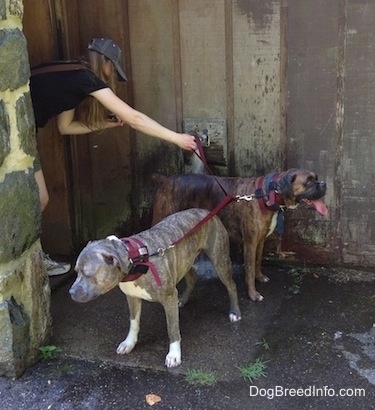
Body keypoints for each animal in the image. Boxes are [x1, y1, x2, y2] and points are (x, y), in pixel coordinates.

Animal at [69, 208, 242, 368]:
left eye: (87, 273)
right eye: (76, 271)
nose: (70, 292)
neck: (136, 261)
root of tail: (206, 211)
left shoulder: (168, 297)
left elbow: (172, 329)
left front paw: (174, 355)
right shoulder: (132, 297)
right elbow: (133, 323)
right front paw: (129, 343)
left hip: (219, 259)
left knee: (231, 285)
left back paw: (235, 312)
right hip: (184, 261)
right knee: (192, 278)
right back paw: (183, 300)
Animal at [152, 168, 328, 302]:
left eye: (316, 178)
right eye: (309, 181)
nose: (324, 184)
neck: (268, 193)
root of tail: (164, 180)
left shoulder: (260, 241)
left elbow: (257, 261)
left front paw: (260, 277)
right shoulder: (249, 243)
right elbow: (249, 270)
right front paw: (253, 294)